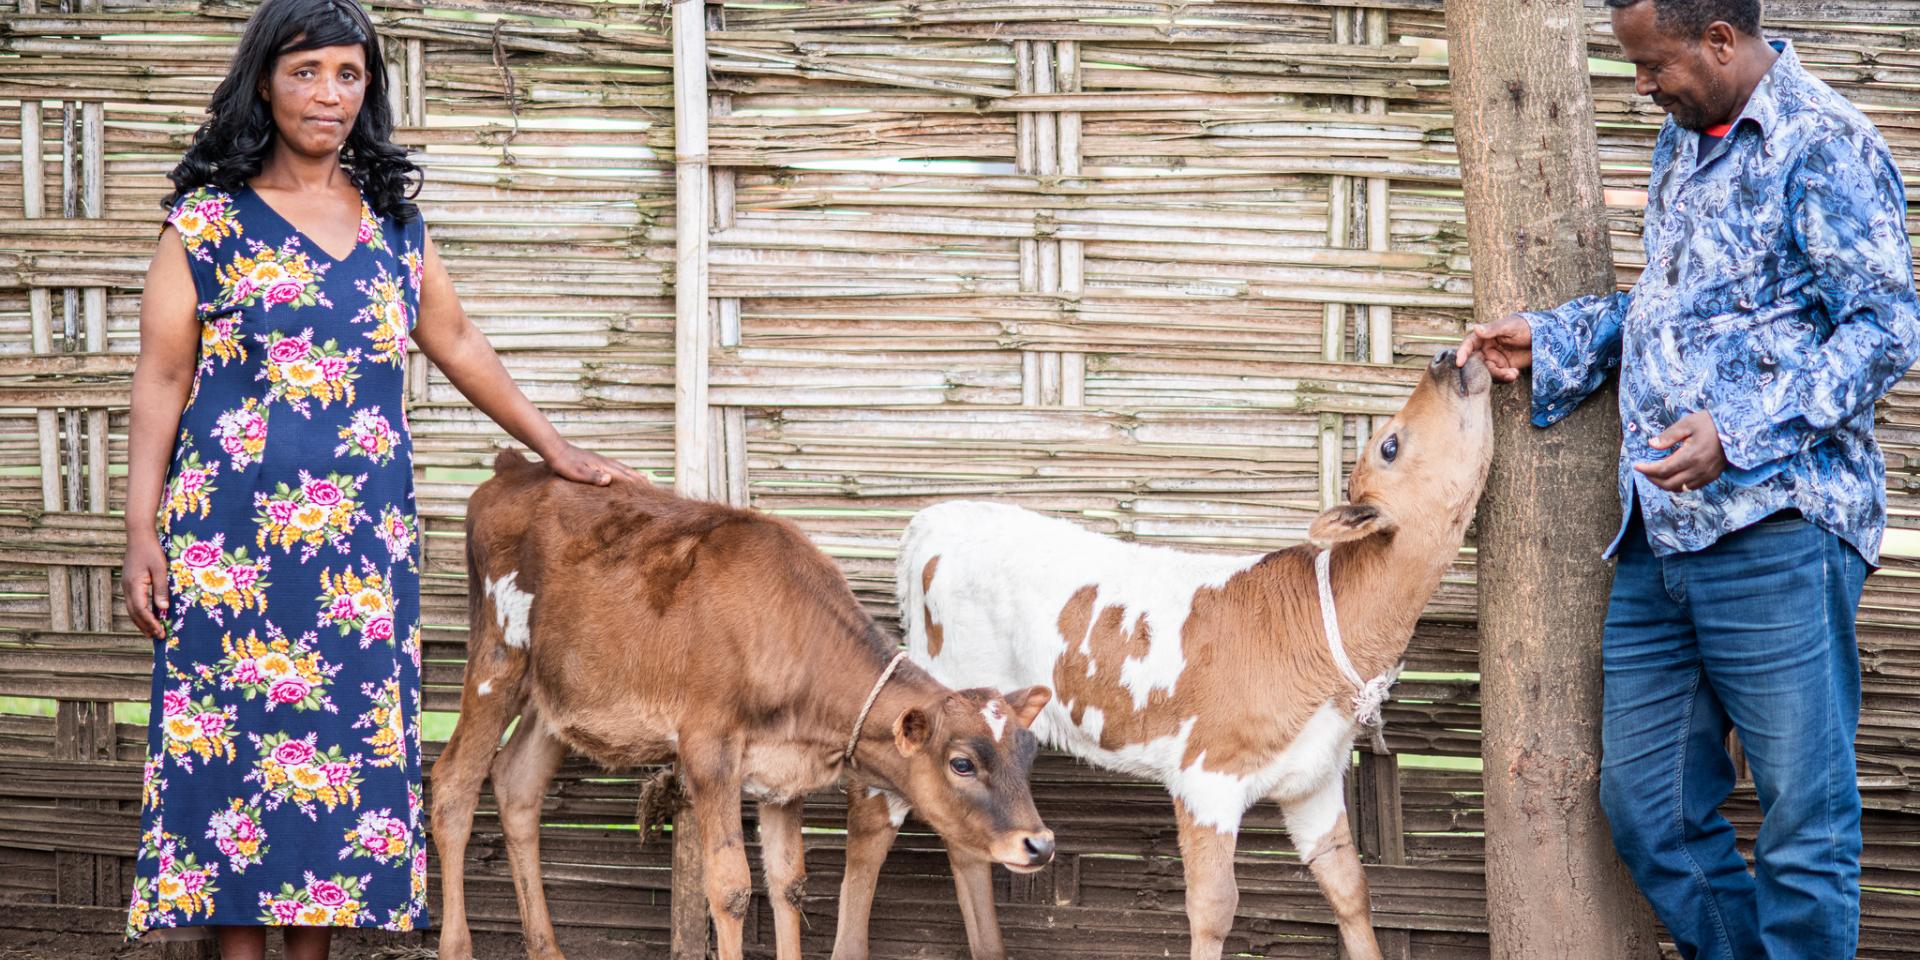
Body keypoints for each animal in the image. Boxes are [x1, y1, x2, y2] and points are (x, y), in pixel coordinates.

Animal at [433, 453, 1059, 960]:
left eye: (1027, 755)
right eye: (962, 763)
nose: (1040, 843)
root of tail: (515, 469)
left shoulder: (783, 773)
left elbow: (790, 883)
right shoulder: (708, 748)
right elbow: (730, 888)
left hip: (554, 693)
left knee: (516, 785)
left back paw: (547, 947)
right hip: (496, 660)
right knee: (453, 786)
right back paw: (456, 944)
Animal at [844, 353, 1497, 960]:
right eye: (1389, 443)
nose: (1445, 359)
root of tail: (935, 517)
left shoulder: (1314, 778)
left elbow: (1350, 888)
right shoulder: (1206, 778)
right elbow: (1214, 906)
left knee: (965, 842)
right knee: (873, 818)